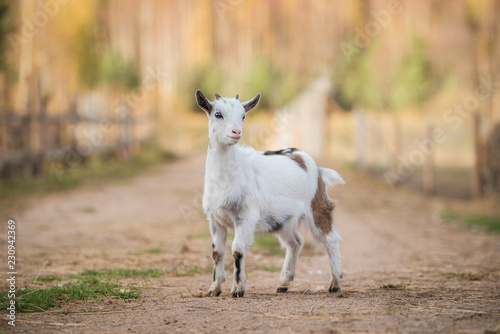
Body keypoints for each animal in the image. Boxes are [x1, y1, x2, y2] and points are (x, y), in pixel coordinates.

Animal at [197, 89, 346, 298]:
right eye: (218, 114)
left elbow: (237, 250)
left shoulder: (245, 216)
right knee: (295, 242)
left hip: (316, 207)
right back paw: (283, 283)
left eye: (243, 116)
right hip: (284, 219)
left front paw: (238, 289)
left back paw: (335, 284)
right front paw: (214, 289)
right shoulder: (214, 218)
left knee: (330, 239)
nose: (236, 132)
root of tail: (309, 162)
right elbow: (217, 252)